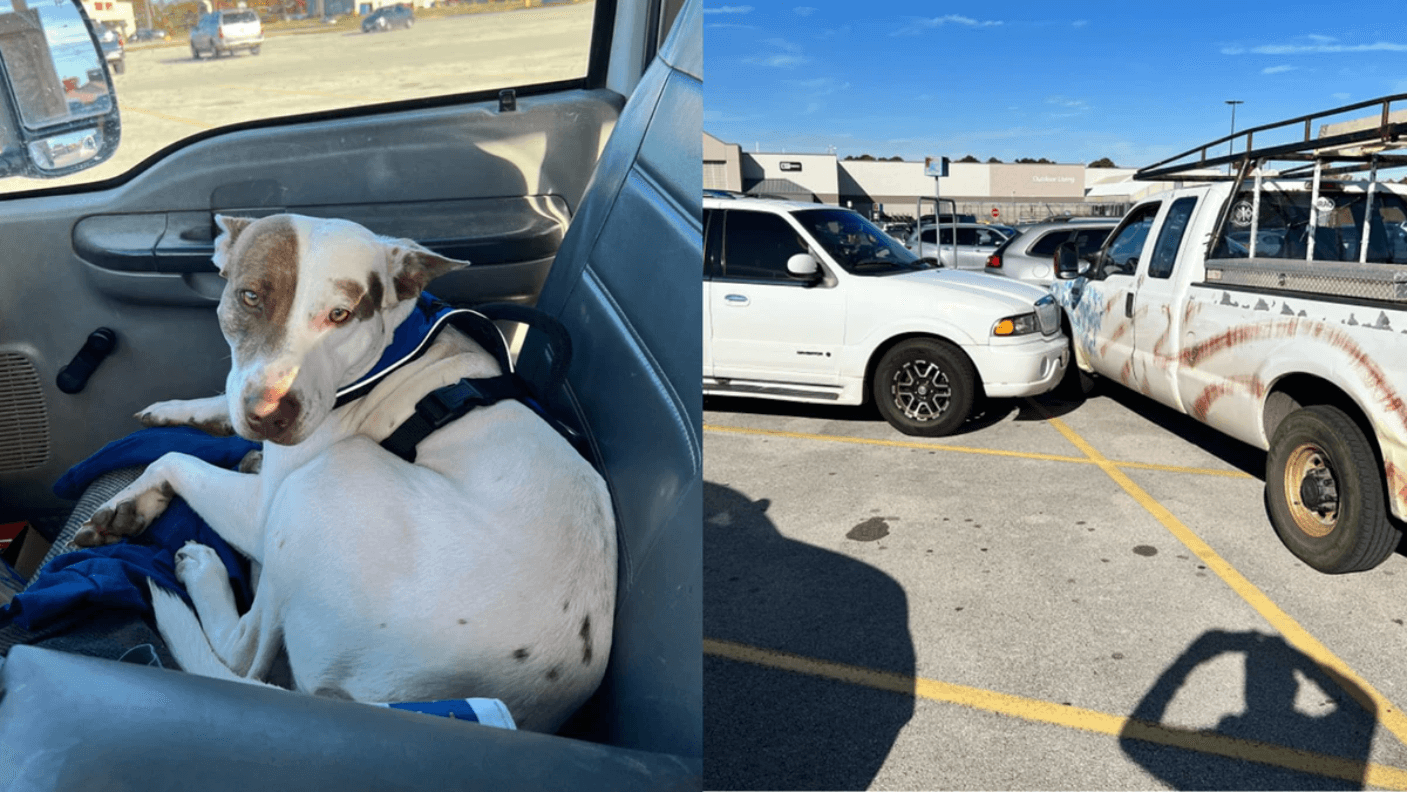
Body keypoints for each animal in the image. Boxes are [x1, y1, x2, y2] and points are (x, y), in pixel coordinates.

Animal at [72, 212, 616, 732]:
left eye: (341, 314)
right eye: (250, 296)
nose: (270, 414)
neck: (389, 354)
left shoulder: (260, 508)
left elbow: (173, 459)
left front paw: (126, 503)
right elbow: (219, 403)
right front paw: (176, 414)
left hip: (320, 484)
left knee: (244, 652)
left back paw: (210, 568)